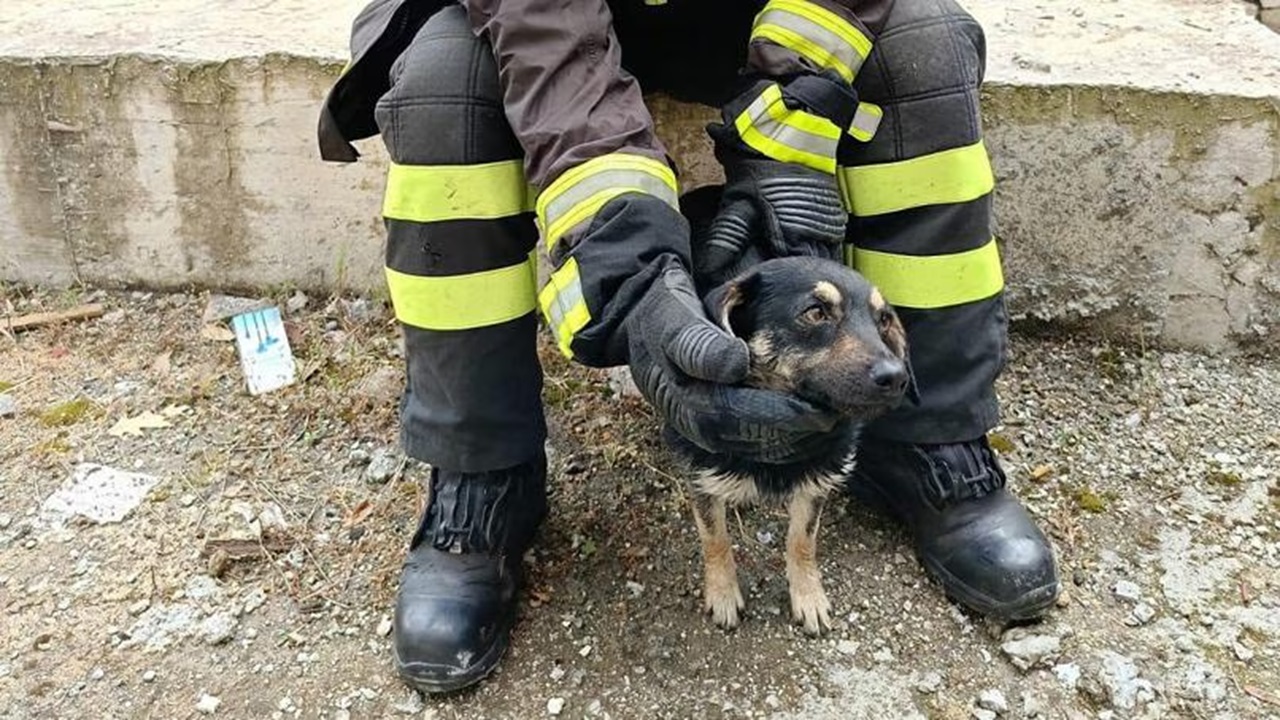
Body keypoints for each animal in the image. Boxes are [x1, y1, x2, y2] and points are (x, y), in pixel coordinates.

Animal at [670, 189, 921, 627]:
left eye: (883, 320)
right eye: (816, 312)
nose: (896, 377)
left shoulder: (818, 477)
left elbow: (802, 539)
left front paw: (808, 595)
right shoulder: (701, 474)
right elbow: (714, 538)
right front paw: (723, 592)